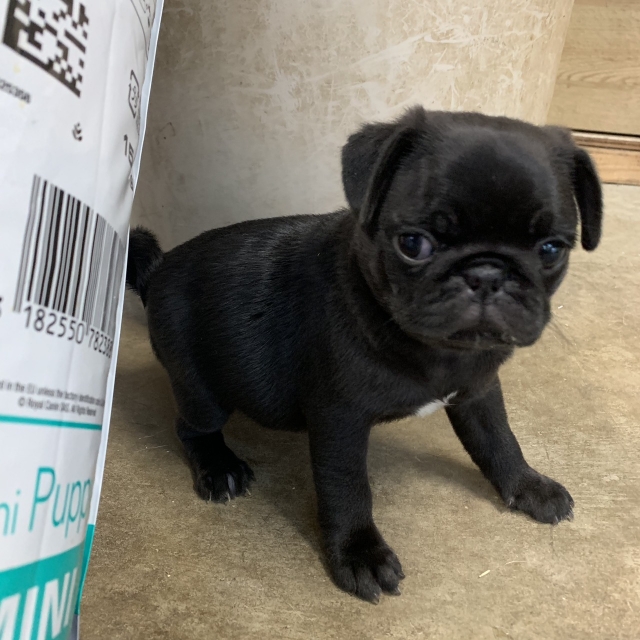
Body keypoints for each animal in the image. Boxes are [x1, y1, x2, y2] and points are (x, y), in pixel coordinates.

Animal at [126, 107, 602, 603]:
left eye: (551, 249)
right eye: (413, 243)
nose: (487, 273)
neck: (440, 350)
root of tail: (157, 272)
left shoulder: (478, 391)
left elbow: (499, 441)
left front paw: (528, 485)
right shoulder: (341, 420)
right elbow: (348, 488)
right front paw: (359, 554)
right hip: (201, 389)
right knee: (192, 426)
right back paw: (219, 468)